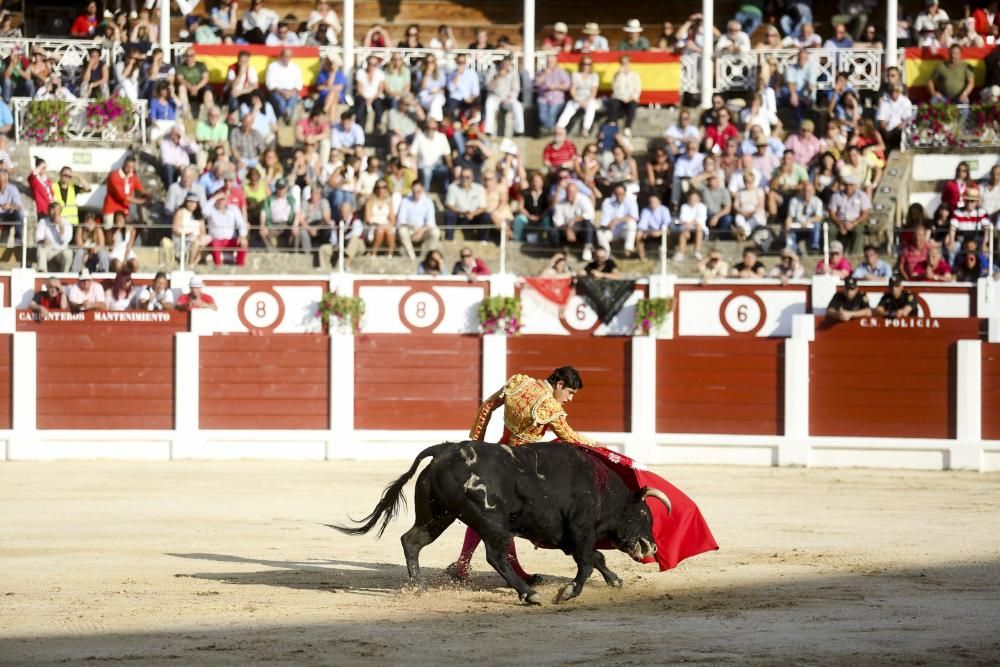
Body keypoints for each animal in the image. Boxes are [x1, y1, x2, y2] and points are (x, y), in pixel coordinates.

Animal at [330, 440, 672, 608]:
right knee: (495, 555)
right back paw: (528, 594)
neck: (601, 489)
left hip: (438, 515)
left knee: (411, 540)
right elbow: (588, 561)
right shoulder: (579, 530)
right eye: (645, 515)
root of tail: (443, 450)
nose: (653, 546)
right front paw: (567, 593)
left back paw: (420, 588)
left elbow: (595, 558)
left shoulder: (570, 537)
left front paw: (616, 580)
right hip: (490, 521)